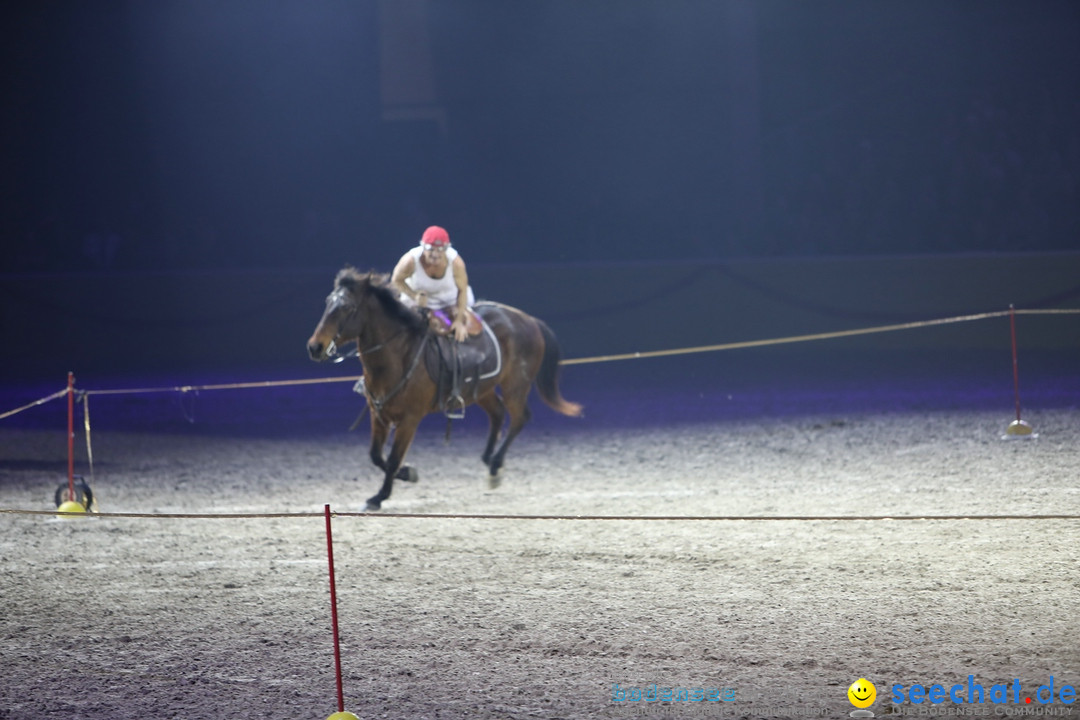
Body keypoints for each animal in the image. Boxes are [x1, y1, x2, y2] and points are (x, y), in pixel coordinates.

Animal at [304, 266, 583, 511]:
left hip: (515, 385)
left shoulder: (410, 419)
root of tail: (529, 320)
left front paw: (379, 496)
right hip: (481, 390)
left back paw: (495, 465)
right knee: (498, 414)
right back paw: (489, 460)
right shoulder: (378, 414)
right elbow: (376, 455)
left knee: (519, 417)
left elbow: (392, 458)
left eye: (347, 308)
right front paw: (407, 473)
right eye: (328, 303)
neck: (398, 356)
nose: (315, 347)